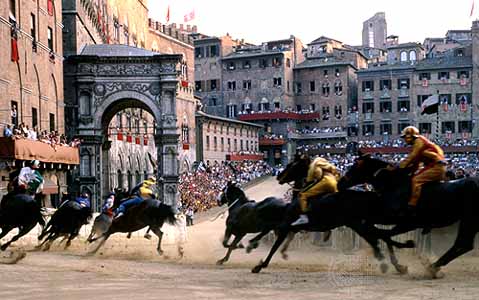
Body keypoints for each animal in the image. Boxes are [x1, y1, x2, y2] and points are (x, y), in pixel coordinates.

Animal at [253, 155, 414, 274]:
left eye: (291, 165)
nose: (278, 176)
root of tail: (370, 195)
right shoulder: (293, 226)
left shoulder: (287, 224)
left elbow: (275, 244)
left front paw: (259, 265)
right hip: (361, 223)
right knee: (382, 236)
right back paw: (398, 263)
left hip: (357, 224)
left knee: (378, 237)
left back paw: (393, 259)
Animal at [340, 155, 479, 278]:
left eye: (354, 167)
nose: (340, 182)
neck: (396, 186)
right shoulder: (390, 218)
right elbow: (378, 230)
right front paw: (398, 264)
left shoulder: (408, 223)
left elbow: (384, 234)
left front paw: (403, 254)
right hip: (469, 220)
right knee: (465, 243)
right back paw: (434, 266)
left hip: (469, 219)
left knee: (463, 242)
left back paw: (432, 267)